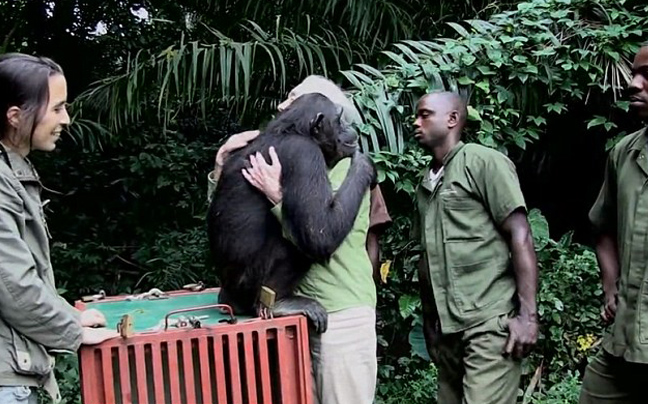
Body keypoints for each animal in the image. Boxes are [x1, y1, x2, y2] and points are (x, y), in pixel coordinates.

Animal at [208, 93, 378, 332]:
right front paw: (364, 164)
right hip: (250, 286)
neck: (292, 131)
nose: (349, 127)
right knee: (295, 242)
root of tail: (229, 299)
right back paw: (281, 303)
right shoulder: (304, 155)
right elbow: (319, 231)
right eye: (338, 120)